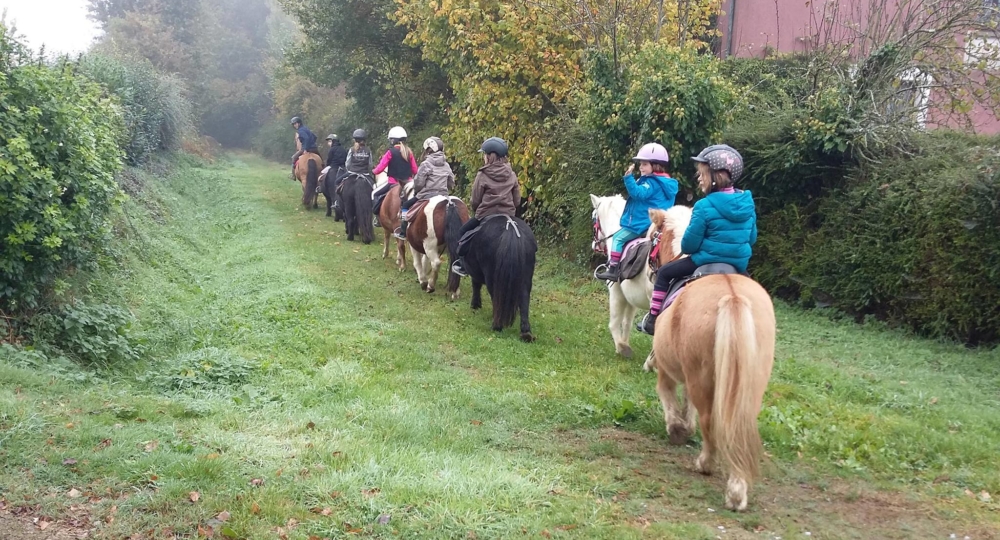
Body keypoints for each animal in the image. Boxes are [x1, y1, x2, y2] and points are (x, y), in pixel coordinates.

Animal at [588, 193, 692, 358]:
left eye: (594, 218)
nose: (594, 245)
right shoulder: (631, 298)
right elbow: (627, 323)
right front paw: (625, 344)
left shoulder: (616, 292)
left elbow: (614, 322)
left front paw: (621, 347)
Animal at [644, 209, 776, 512]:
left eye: (653, 236)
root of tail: (733, 296)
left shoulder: (668, 372)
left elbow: (669, 397)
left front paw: (676, 428)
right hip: (750, 383)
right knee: (738, 423)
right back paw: (738, 489)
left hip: (702, 378)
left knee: (709, 422)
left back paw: (708, 466)